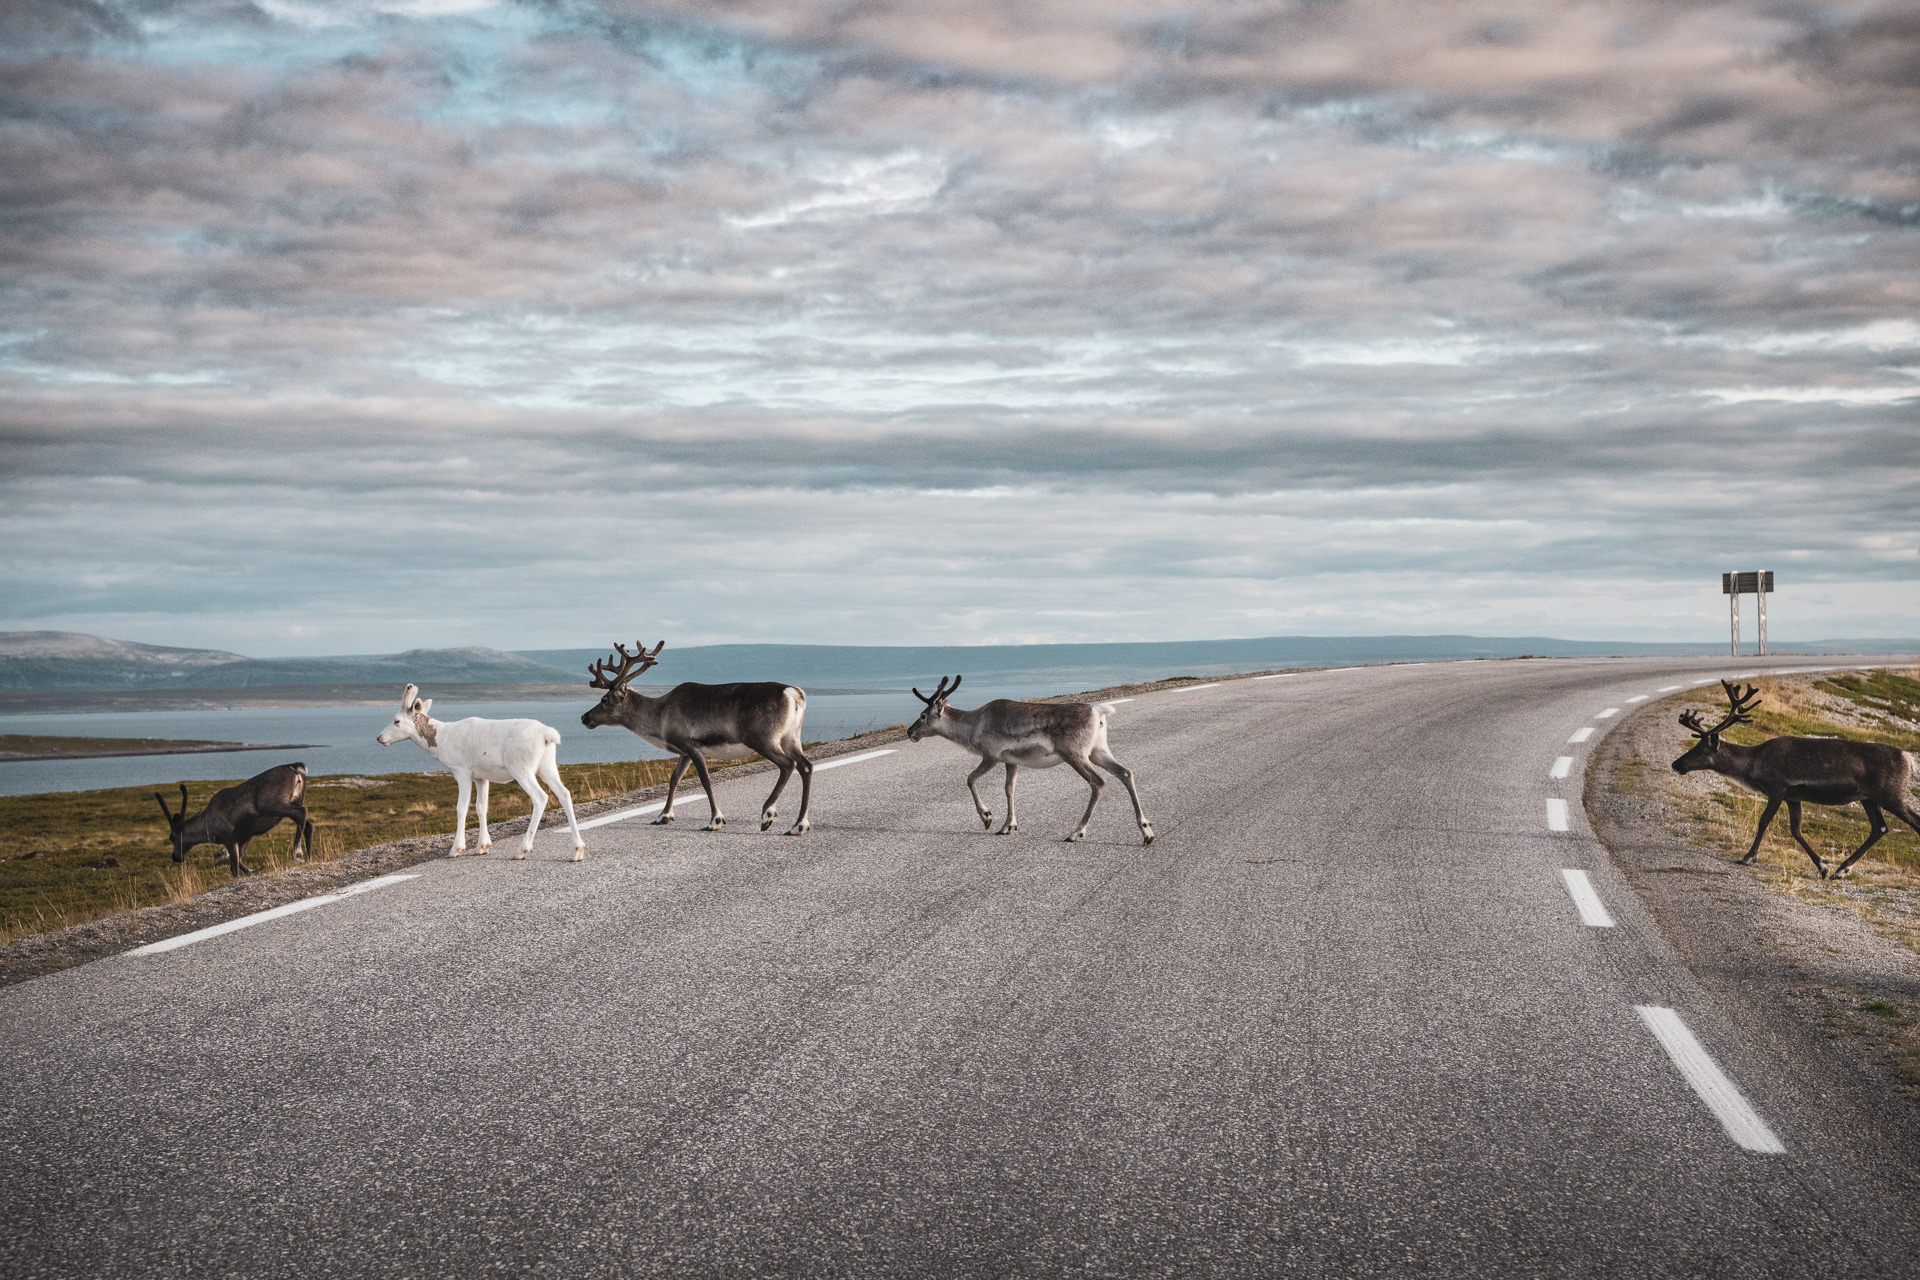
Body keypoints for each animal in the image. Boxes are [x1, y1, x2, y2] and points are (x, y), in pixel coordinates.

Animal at [155, 763, 313, 878]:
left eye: (171, 837)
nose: (175, 857)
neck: (207, 825)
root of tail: (293, 768)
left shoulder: (229, 838)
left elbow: (234, 867)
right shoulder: (246, 836)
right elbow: (239, 861)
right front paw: (252, 870)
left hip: (272, 805)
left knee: (301, 813)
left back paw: (297, 853)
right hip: (297, 800)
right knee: (308, 824)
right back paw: (309, 856)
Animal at [376, 684, 585, 861]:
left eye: (396, 720)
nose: (379, 737)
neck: (441, 741)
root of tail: (548, 735)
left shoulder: (461, 771)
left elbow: (461, 807)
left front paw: (457, 848)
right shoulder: (481, 776)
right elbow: (481, 807)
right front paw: (482, 846)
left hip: (521, 768)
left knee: (541, 797)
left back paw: (522, 849)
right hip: (547, 766)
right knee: (564, 793)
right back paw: (578, 850)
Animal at [579, 640, 814, 835]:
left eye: (604, 700)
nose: (584, 717)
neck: (660, 717)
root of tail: (795, 694)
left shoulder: (691, 746)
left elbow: (705, 780)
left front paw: (715, 820)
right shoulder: (683, 751)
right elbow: (674, 779)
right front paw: (663, 816)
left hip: (763, 739)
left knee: (788, 764)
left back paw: (768, 814)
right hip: (791, 737)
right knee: (806, 766)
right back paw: (799, 825)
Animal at [907, 674, 1154, 845]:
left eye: (922, 715)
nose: (910, 732)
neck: (971, 727)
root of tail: (1098, 712)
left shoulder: (991, 756)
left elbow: (970, 779)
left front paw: (987, 817)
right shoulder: (1011, 761)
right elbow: (1009, 789)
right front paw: (1008, 825)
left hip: (1074, 753)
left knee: (1099, 782)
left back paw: (1076, 832)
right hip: (1098, 750)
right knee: (1126, 772)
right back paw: (1146, 831)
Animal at [1671, 679, 1920, 879]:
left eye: (1701, 749)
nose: (1676, 764)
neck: (1753, 765)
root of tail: (1908, 758)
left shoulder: (1777, 789)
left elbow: (1764, 821)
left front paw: (1748, 857)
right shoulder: (1793, 796)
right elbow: (1796, 830)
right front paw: (1823, 865)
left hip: (1891, 795)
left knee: (1912, 822)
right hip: (1868, 798)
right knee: (1880, 828)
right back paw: (1841, 870)